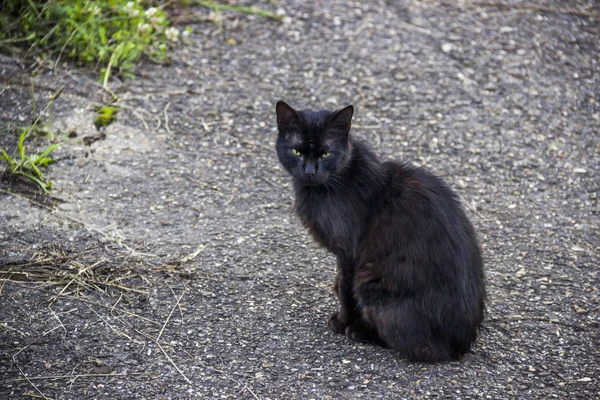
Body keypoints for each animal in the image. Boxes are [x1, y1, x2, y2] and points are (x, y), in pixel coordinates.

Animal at [274, 101, 486, 362]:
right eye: (296, 152)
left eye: (325, 154)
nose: (310, 172)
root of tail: (460, 346)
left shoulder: (349, 252)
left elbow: (345, 288)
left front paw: (343, 321)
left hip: (371, 286)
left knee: (421, 348)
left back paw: (361, 330)